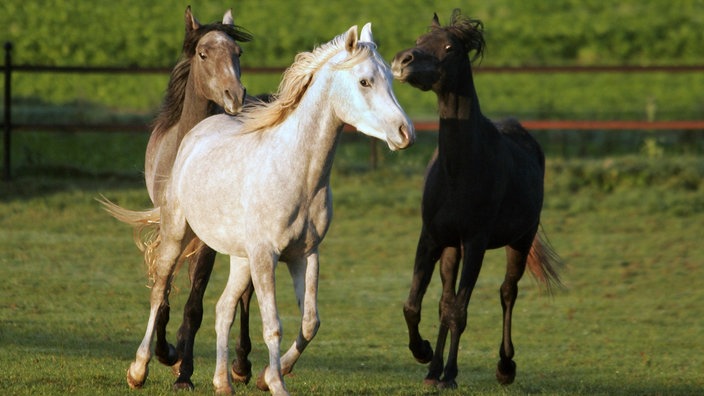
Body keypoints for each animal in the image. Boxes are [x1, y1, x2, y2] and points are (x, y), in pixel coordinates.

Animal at [108, 23, 416, 394]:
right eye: (365, 81)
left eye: (389, 78)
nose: (406, 132)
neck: (297, 171)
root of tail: (197, 130)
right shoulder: (266, 256)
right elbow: (273, 325)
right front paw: (277, 383)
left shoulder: (304, 254)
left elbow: (310, 322)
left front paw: (266, 375)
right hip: (180, 234)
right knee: (160, 291)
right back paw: (139, 370)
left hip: (240, 258)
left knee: (223, 307)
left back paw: (223, 381)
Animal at [388, 10, 564, 390]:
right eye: (420, 41)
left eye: (449, 47)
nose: (402, 61)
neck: (459, 170)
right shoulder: (432, 238)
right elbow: (416, 305)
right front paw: (425, 355)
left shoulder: (476, 242)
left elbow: (460, 311)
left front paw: (451, 375)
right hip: (451, 249)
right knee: (445, 300)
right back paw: (433, 370)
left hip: (519, 241)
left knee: (507, 293)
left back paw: (504, 367)